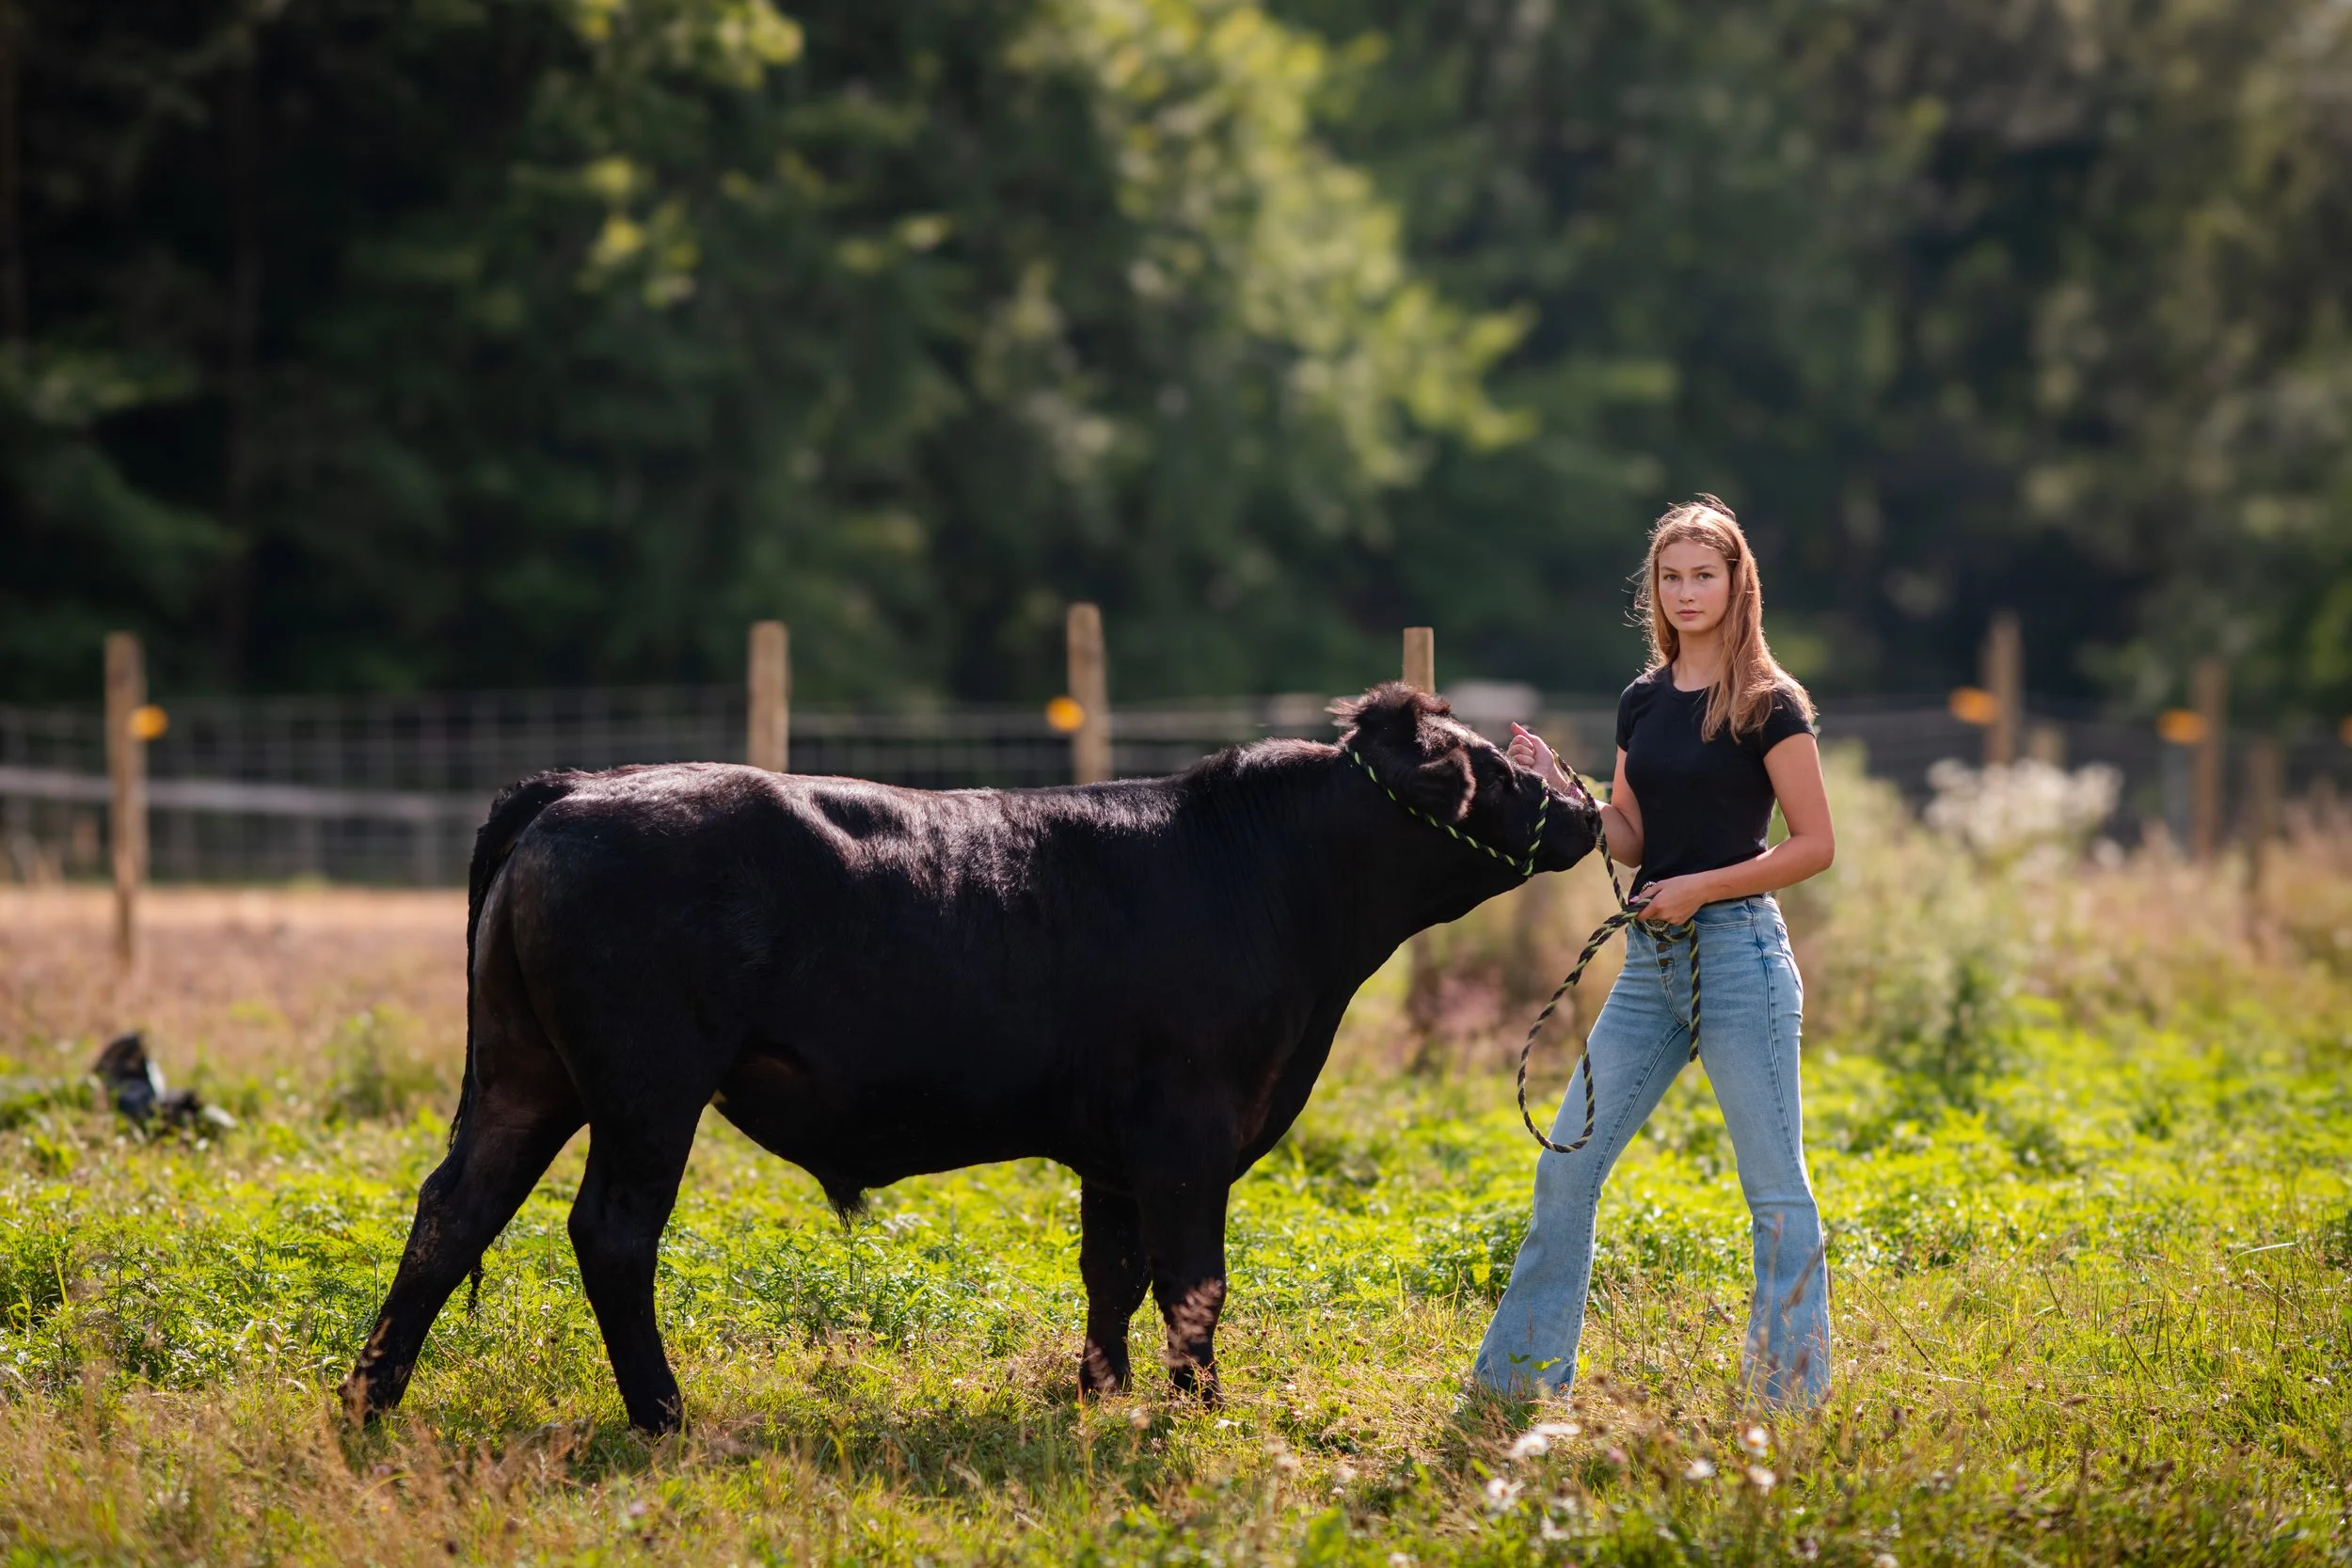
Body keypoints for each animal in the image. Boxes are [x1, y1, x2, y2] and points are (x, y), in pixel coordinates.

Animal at [341, 682, 1601, 1433]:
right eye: (1493, 766)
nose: (1590, 811)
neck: (1268, 884)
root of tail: (579, 787)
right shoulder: (1188, 1131)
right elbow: (1193, 1281)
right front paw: (1200, 1411)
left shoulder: (1116, 1148)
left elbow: (1112, 1273)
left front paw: (1101, 1396)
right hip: (648, 1085)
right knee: (609, 1230)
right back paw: (663, 1414)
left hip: (524, 1071)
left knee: (454, 1208)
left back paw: (369, 1398)